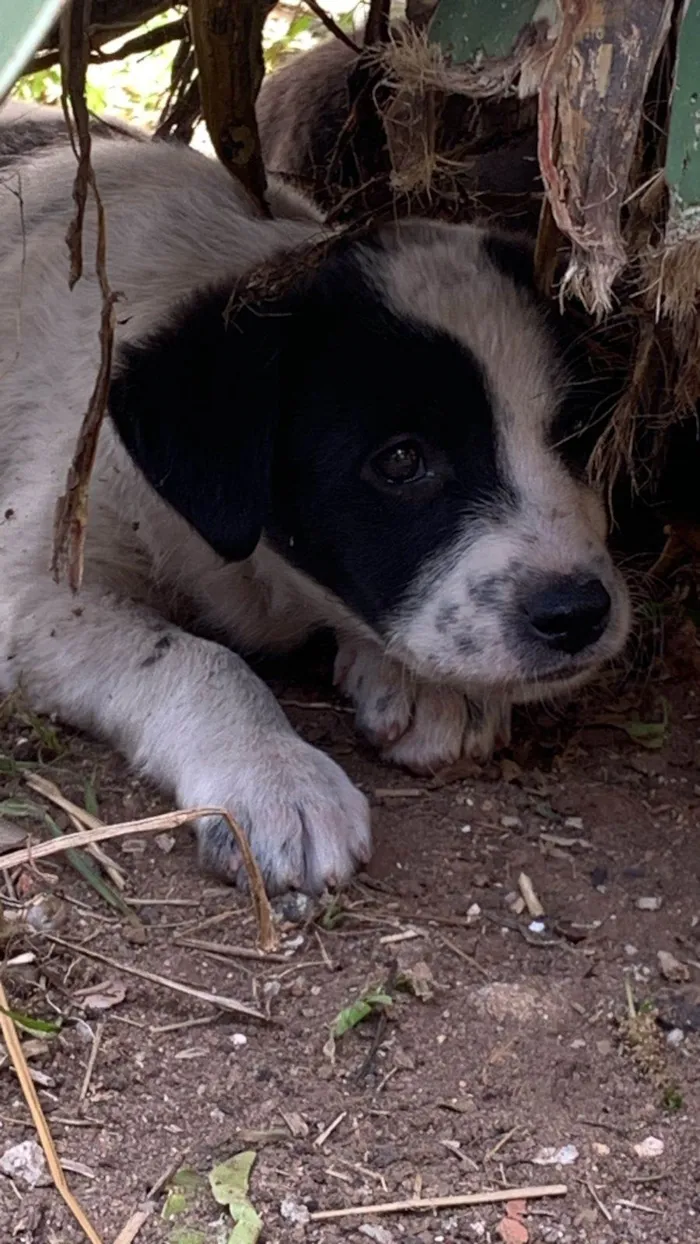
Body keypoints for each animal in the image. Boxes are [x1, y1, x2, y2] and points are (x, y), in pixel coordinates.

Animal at [0, 102, 631, 890]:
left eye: (576, 435)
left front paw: (426, 683)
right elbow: (195, 659)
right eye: (401, 461)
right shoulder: (44, 591)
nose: (577, 614)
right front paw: (276, 777)